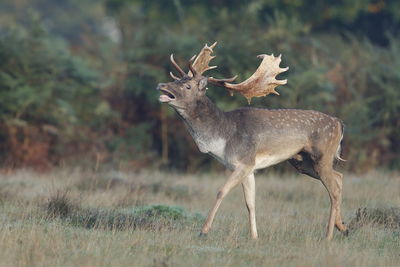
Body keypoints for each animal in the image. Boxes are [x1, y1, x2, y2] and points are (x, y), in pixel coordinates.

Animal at [156, 42, 346, 241]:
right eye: (177, 80)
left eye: (187, 86)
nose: (162, 84)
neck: (222, 139)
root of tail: (339, 123)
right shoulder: (249, 168)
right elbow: (250, 202)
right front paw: (255, 236)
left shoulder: (245, 162)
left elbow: (221, 191)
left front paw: (204, 230)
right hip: (302, 162)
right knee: (339, 177)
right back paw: (343, 226)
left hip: (322, 155)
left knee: (333, 189)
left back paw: (328, 235)